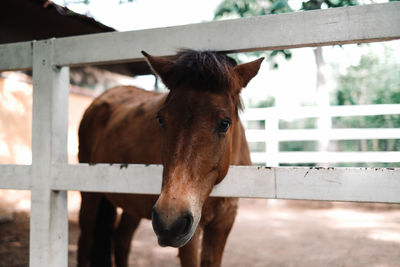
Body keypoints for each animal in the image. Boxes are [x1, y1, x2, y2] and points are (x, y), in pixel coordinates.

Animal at [76, 50, 264, 267]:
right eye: (161, 120)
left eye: (225, 123)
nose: (169, 221)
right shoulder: (192, 233)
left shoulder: (223, 223)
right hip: (90, 196)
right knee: (86, 239)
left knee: (121, 240)